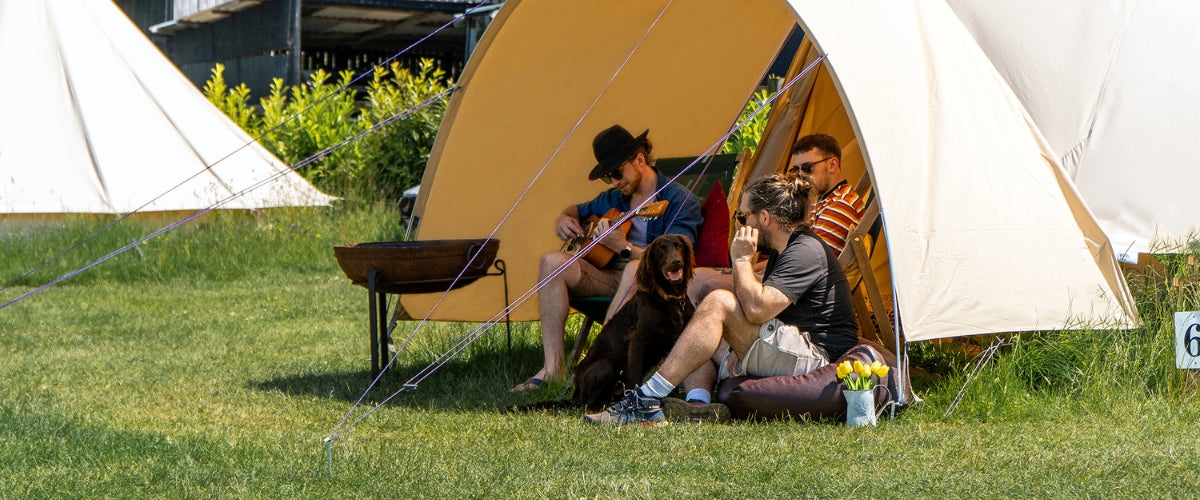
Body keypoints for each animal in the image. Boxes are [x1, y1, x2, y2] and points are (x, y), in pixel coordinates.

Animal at [571, 233, 696, 410]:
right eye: (661, 249)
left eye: (678, 245)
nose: (675, 262)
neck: (671, 299)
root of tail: (575, 394)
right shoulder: (637, 338)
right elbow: (635, 375)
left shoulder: (676, 339)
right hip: (605, 365)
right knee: (587, 403)